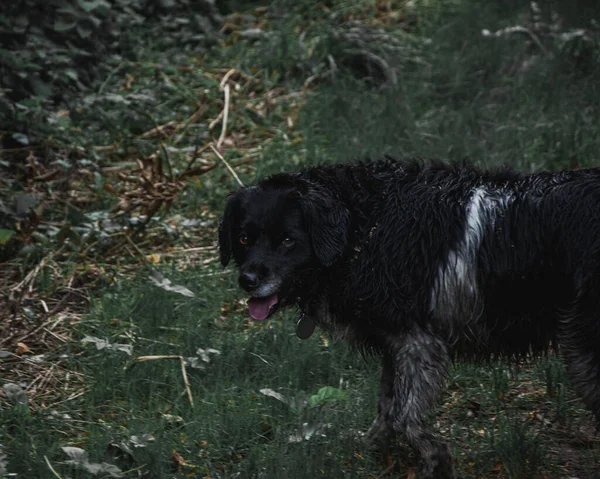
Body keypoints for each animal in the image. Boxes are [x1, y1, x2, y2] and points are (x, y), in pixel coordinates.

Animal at [219, 158, 600, 479]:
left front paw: (435, 460)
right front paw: (374, 452)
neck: (361, 227)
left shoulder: (420, 343)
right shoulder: (395, 345)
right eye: (244, 237)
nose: (248, 280)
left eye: (287, 240)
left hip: (581, 354)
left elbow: (405, 416)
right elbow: (387, 407)